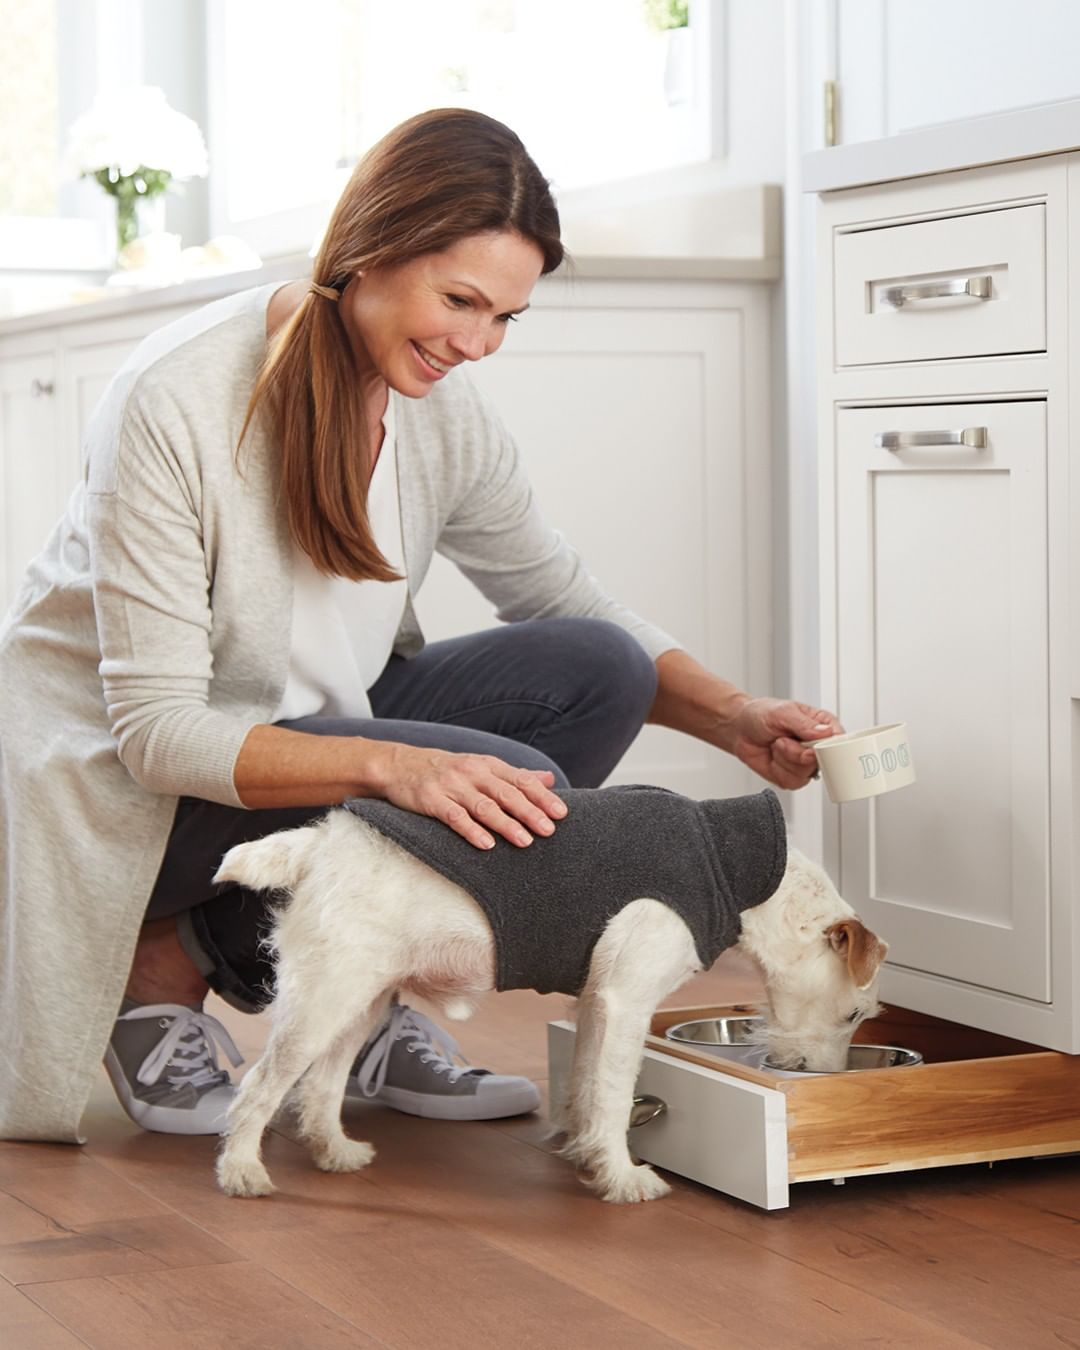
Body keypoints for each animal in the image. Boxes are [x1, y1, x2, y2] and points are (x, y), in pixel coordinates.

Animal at [210, 788, 885, 1209]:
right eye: (854, 1013)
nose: (822, 1079)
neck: (739, 871)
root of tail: (320, 844)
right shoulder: (627, 1001)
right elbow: (613, 1096)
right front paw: (624, 1177)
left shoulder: (595, 1005)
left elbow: (588, 1086)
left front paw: (589, 1158)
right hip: (325, 998)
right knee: (261, 1087)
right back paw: (242, 1171)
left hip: (360, 1001)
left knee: (320, 1087)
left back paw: (336, 1153)